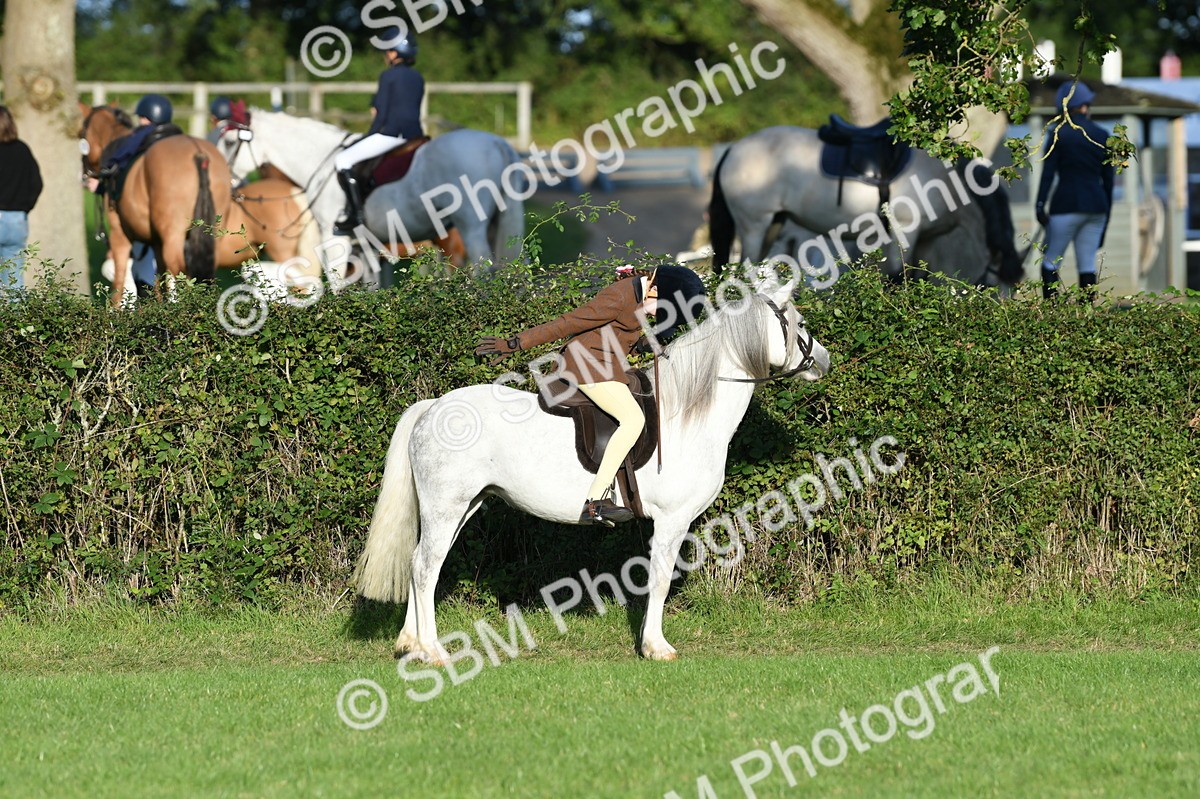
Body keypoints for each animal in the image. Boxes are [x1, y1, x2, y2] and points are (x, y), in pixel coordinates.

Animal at [79, 105, 232, 306]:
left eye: (81, 132)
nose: (85, 177)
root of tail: (199, 154)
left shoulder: (119, 233)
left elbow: (119, 281)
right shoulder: (157, 242)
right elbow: (158, 281)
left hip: (174, 237)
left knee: (180, 272)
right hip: (213, 235)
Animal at [216, 110, 522, 275]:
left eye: (230, 142)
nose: (227, 186)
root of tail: (498, 144)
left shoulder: (334, 238)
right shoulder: (361, 247)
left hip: (465, 233)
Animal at [353, 274, 831, 662]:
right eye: (800, 323)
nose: (823, 361)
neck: (686, 412)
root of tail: (435, 406)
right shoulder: (672, 519)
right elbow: (659, 580)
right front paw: (656, 647)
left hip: (462, 506)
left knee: (421, 562)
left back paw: (411, 645)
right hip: (447, 505)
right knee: (424, 567)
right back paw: (432, 652)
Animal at [709, 126, 1023, 288]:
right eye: (993, 287)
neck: (945, 178)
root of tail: (734, 149)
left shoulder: (927, 240)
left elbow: (918, 277)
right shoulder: (905, 231)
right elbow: (898, 276)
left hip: (774, 225)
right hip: (754, 225)